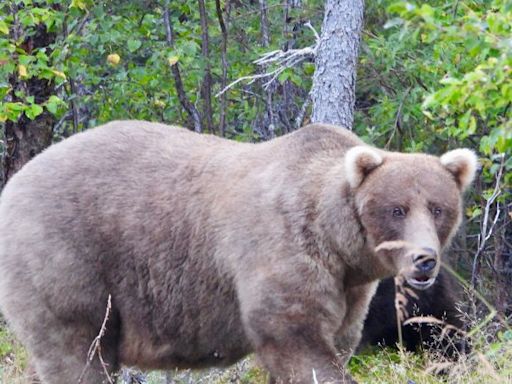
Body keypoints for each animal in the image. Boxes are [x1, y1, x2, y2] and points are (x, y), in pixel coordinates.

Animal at [0, 121, 476, 382]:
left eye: (438, 208)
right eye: (397, 209)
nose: (424, 259)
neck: (338, 243)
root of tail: (16, 180)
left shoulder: (351, 290)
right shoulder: (281, 250)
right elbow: (297, 337)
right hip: (69, 258)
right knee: (77, 353)